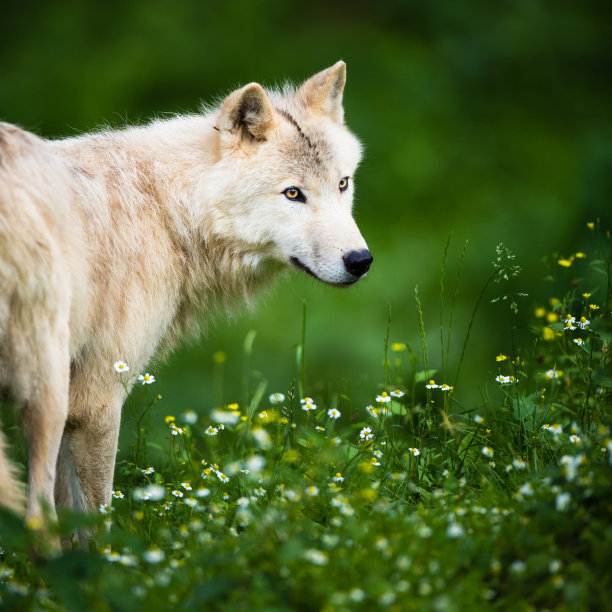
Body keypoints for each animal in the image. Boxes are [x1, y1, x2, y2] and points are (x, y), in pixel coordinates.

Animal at [0, 59, 370, 544]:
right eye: (293, 193)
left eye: (343, 184)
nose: (361, 261)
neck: (167, 210)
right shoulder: (96, 400)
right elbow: (92, 522)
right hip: (47, 394)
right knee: (36, 516)